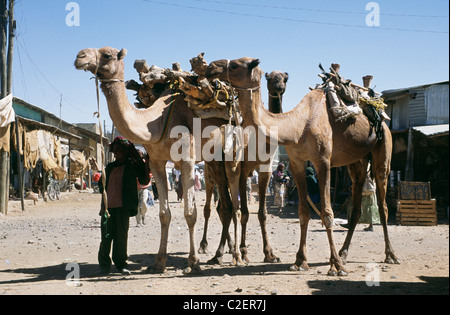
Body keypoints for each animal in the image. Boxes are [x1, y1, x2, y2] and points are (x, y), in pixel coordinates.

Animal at [73, 46, 236, 274]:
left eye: (107, 55)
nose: (80, 57)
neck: (157, 122)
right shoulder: (156, 162)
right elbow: (164, 214)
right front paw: (159, 263)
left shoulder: (187, 159)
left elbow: (190, 213)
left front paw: (192, 263)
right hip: (212, 160)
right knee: (224, 206)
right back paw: (221, 251)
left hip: (225, 155)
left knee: (229, 204)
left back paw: (224, 254)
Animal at [206, 56, 400, 276]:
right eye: (270, 78)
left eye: (234, 65)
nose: (210, 68)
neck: (298, 126)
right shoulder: (296, 163)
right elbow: (303, 212)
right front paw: (300, 261)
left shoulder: (323, 161)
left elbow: (327, 213)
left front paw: (335, 266)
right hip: (356, 161)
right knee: (357, 204)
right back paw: (344, 253)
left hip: (383, 148)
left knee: (383, 203)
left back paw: (389, 255)